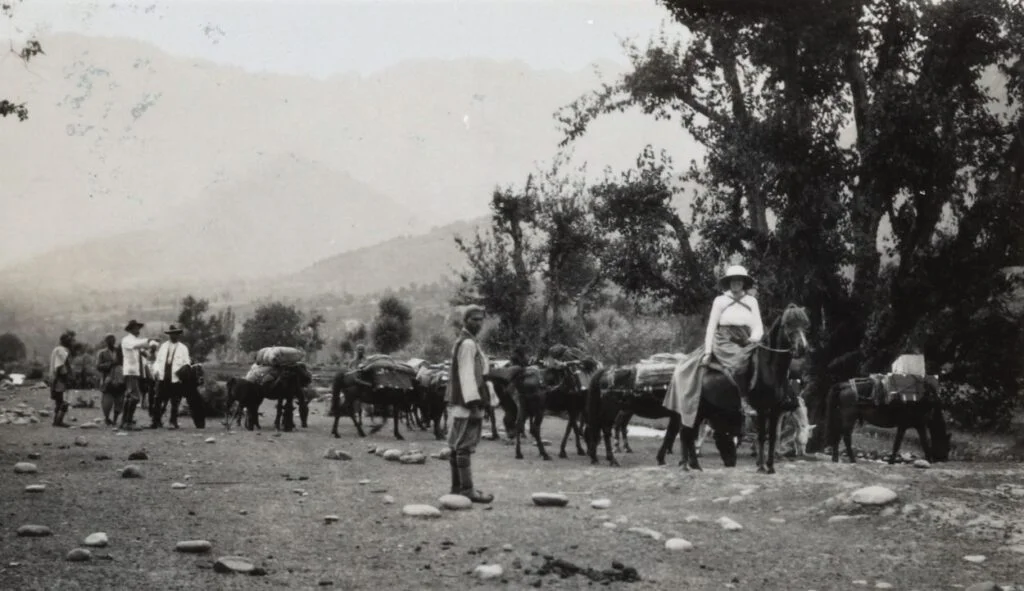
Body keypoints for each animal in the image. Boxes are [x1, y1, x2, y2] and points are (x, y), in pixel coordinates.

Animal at [675, 301, 811, 473]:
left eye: (805, 324)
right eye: (788, 324)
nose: (802, 347)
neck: (770, 369)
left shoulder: (775, 410)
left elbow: (773, 436)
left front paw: (770, 467)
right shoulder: (761, 410)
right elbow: (762, 436)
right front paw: (761, 466)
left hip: (701, 409)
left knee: (690, 432)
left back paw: (694, 465)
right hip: (694, 408)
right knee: (686, 432)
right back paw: (685, 465)